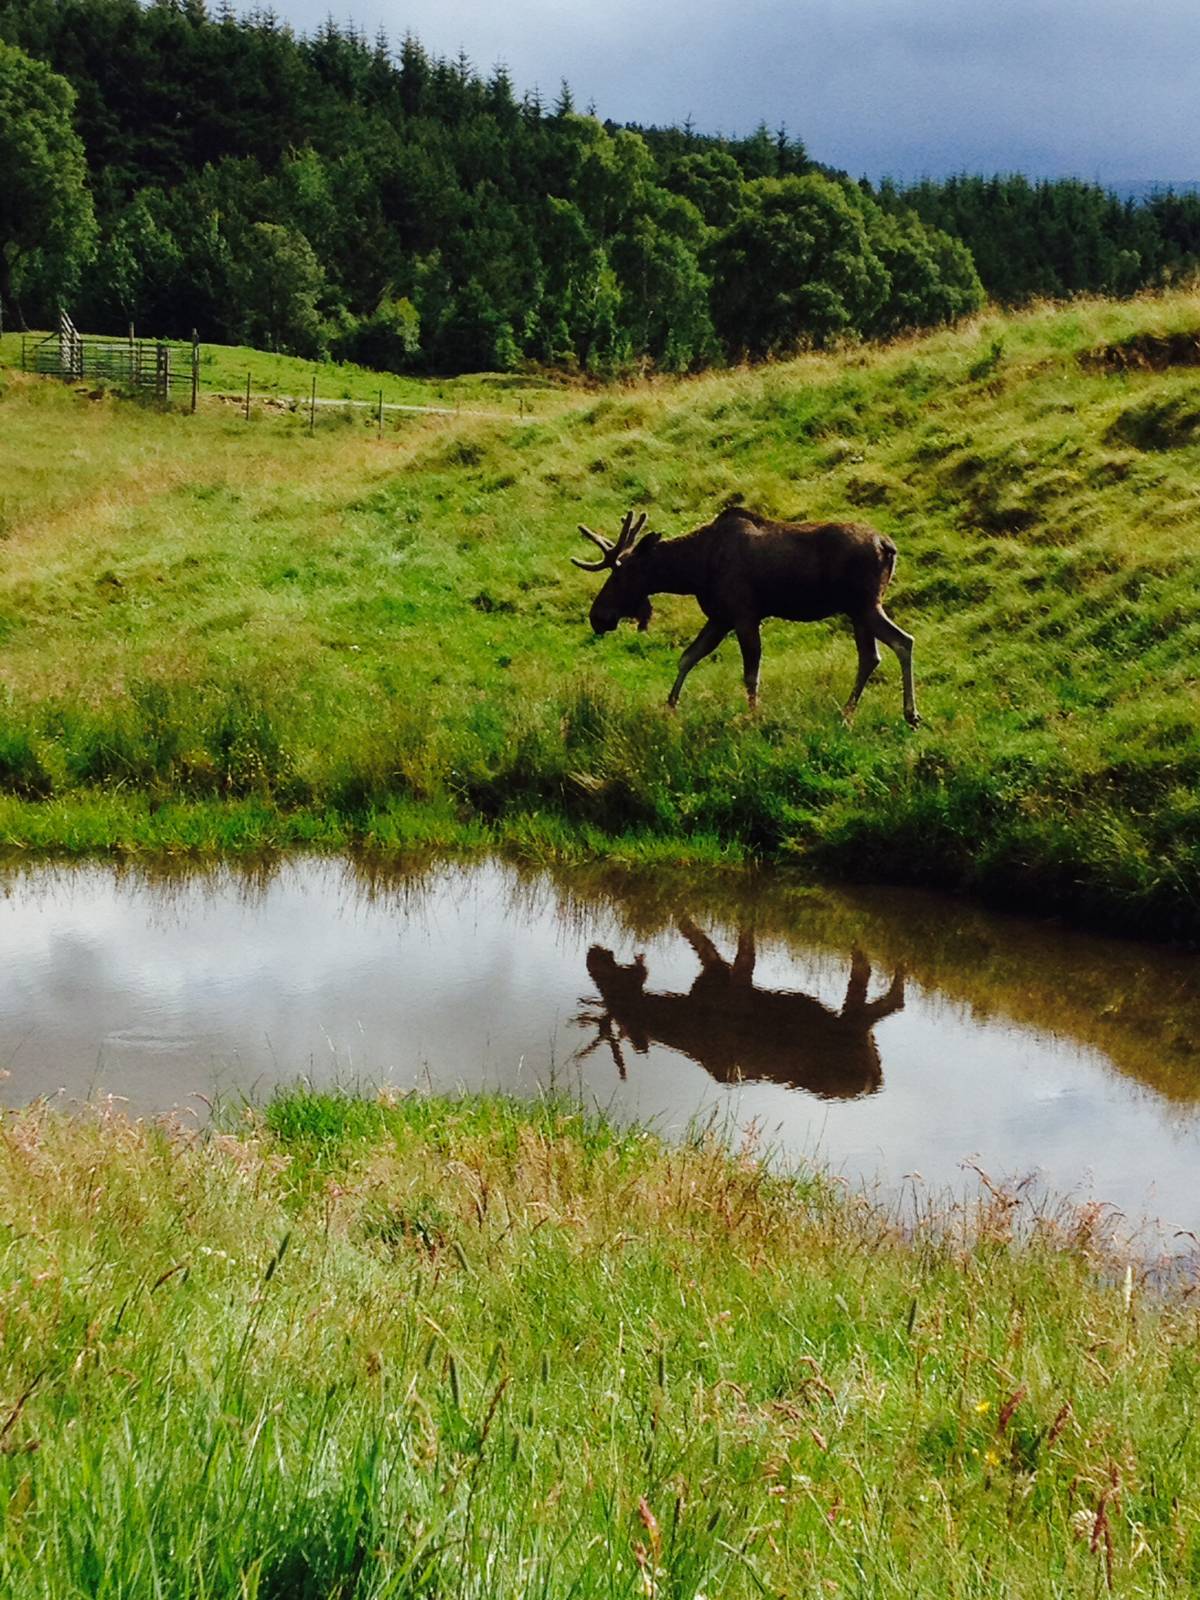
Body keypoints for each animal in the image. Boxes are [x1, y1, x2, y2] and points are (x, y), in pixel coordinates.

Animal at [571, 505, 920, 725]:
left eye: (620, 575)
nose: (597, 616)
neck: (693, 571)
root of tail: (887, 546)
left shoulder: (744, 615)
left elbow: (751, 674)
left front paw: (752, 717)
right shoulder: (720, 617)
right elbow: (687, 657)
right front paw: (669, 707)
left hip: (864, 605)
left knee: (902, 641)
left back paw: (909, 713)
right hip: (858, 611)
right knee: (871, 656)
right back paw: (848, 711)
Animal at [575, 919, 906, 1099]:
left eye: (613, 987)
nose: (592, 957)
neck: (683, 1015)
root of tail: (873, 1083)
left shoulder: (734, 981)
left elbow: (727, 938)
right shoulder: (717, 972)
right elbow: (694, 934)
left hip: (851, 1027)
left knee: (873, 980)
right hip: (859, 1030)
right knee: (886, 999)